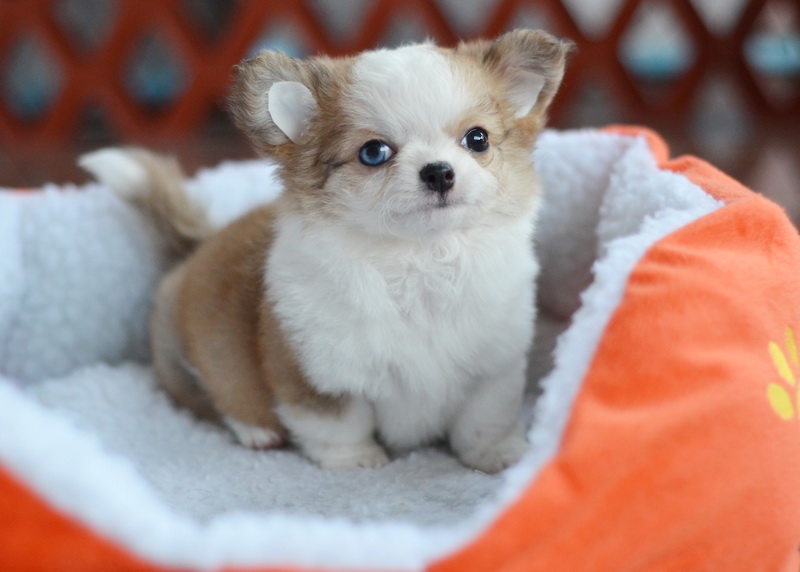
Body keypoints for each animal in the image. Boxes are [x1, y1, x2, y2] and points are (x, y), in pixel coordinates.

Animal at [80, 29, 573, 473]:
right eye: (374, 152)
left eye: (477, 139)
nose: (438, 172)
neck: (419, 257)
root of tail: (199, 245)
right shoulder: (317, 375)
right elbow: (338, 424)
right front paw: (356, 462)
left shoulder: (494, 367)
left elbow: (484, 418)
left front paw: (496, 457)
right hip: (184, 355)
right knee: (208, 401)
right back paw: (256, 432)